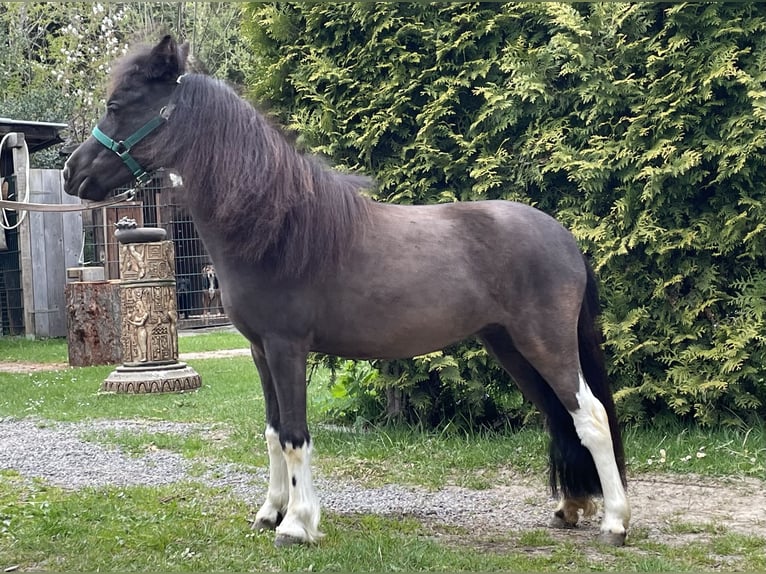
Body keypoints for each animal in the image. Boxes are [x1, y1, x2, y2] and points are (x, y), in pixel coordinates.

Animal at [63, 35, 630, 547]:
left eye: (117, 105)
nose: (73, 172)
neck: (275, 227)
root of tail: (563, 237)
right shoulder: (259, 351)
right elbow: (272, 432)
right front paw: (270, 512)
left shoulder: (287, 347)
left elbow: (295, 436)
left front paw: (296, 525)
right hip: (509, 346)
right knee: (558, 416)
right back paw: (570, 508)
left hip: (544, 343)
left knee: (591, 417)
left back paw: (616, 523)